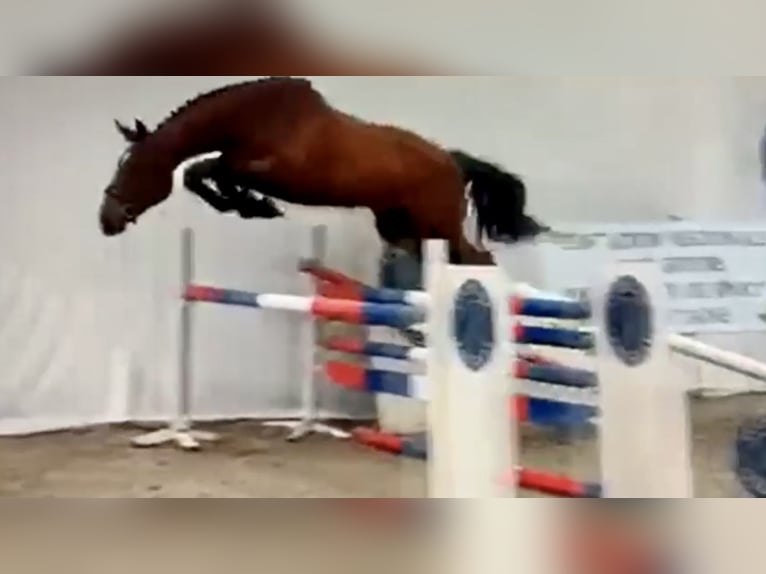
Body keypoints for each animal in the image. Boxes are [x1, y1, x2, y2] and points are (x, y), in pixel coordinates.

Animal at [99, 77, 547, 265]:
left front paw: (254, 205)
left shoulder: (272, 169)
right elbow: (200, 174)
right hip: (403, 227)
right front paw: (246, 205)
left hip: (439, 224)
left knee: (478, 260)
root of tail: (453, 160)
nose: (106, 220)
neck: (251, 116)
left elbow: (214, 169)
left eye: (133, 167)